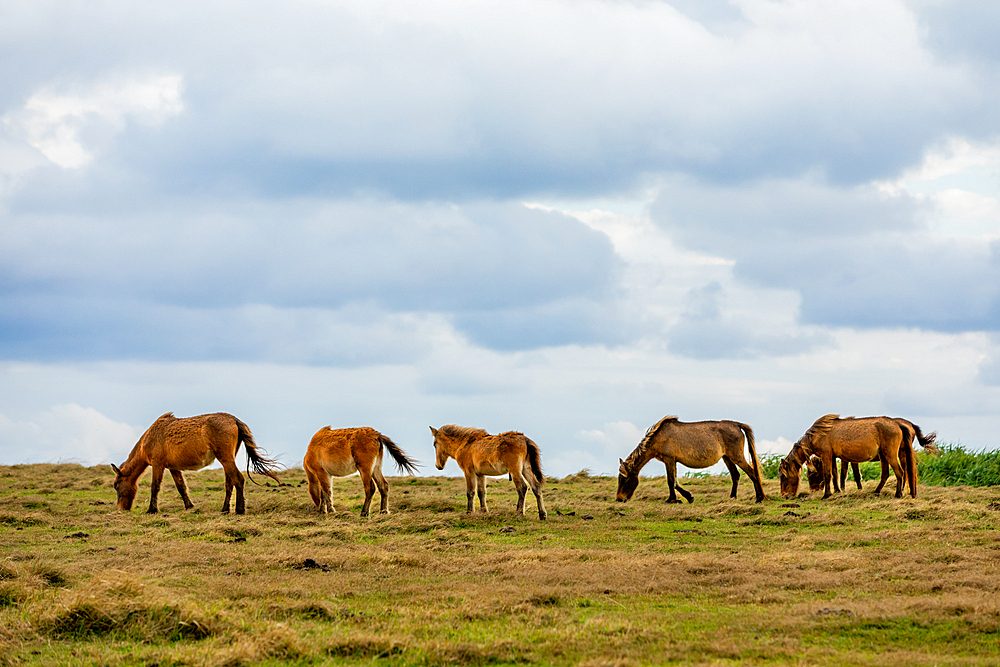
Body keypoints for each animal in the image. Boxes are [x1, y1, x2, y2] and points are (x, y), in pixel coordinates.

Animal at [111, 412, 280, 516]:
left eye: (116, 485)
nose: (121, 509)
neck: (150, 437)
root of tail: (234, 420)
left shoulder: (158, 464)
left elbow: (155, 487)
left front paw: (152, 510)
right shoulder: (173, 468)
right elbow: (181, 487)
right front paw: (189, 506)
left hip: (225, 458)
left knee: (238, 479)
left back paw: (239, 510)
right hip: (228, 458)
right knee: (229, 483)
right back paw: (225, 510)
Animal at [612, 414, 760, 504]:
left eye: (625, 479)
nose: (619, 499)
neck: (659, 436)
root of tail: (736, 425)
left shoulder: (669, 459)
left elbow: (671, 481)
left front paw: (672, 500)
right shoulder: (673, 461)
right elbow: (675, 482)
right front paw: (688, 497)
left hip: (736, 457)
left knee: (752, 473)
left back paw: (759, 498)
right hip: (727, 458)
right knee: (735, 475)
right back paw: (732, 497)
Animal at [780, 412, 916, 500]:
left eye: (783, 476)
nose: (785, 496)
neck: (818, 433)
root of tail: (897, 424)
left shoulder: (826, 455)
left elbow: (828, 475)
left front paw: (826, 495)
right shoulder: (833, 457)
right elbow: (835, 474)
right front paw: (837, 491)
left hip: (890, 455)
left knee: (900, 472)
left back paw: (898, 494)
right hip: (884, 456)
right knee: (886, 474)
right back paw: (876, 492)